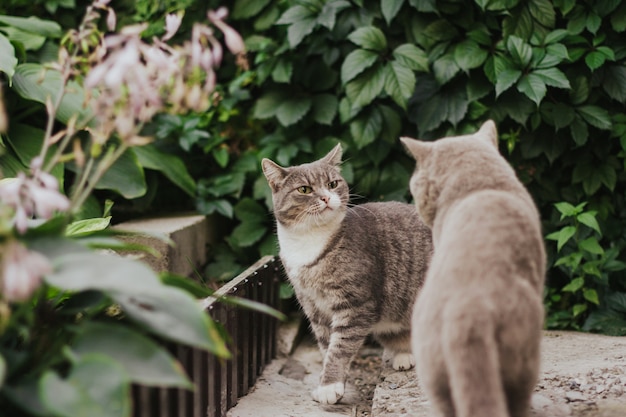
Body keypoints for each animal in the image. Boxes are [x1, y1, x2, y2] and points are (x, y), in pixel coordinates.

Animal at [260, 145, 432, 404]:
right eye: (304, 189)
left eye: (332, 184)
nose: (326, 197)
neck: (309, 240)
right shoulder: (314, 306)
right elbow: (326, 346)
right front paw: (330, 382)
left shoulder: (356, 304)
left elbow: (339, 348)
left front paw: (330, 386)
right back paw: (403, 355)